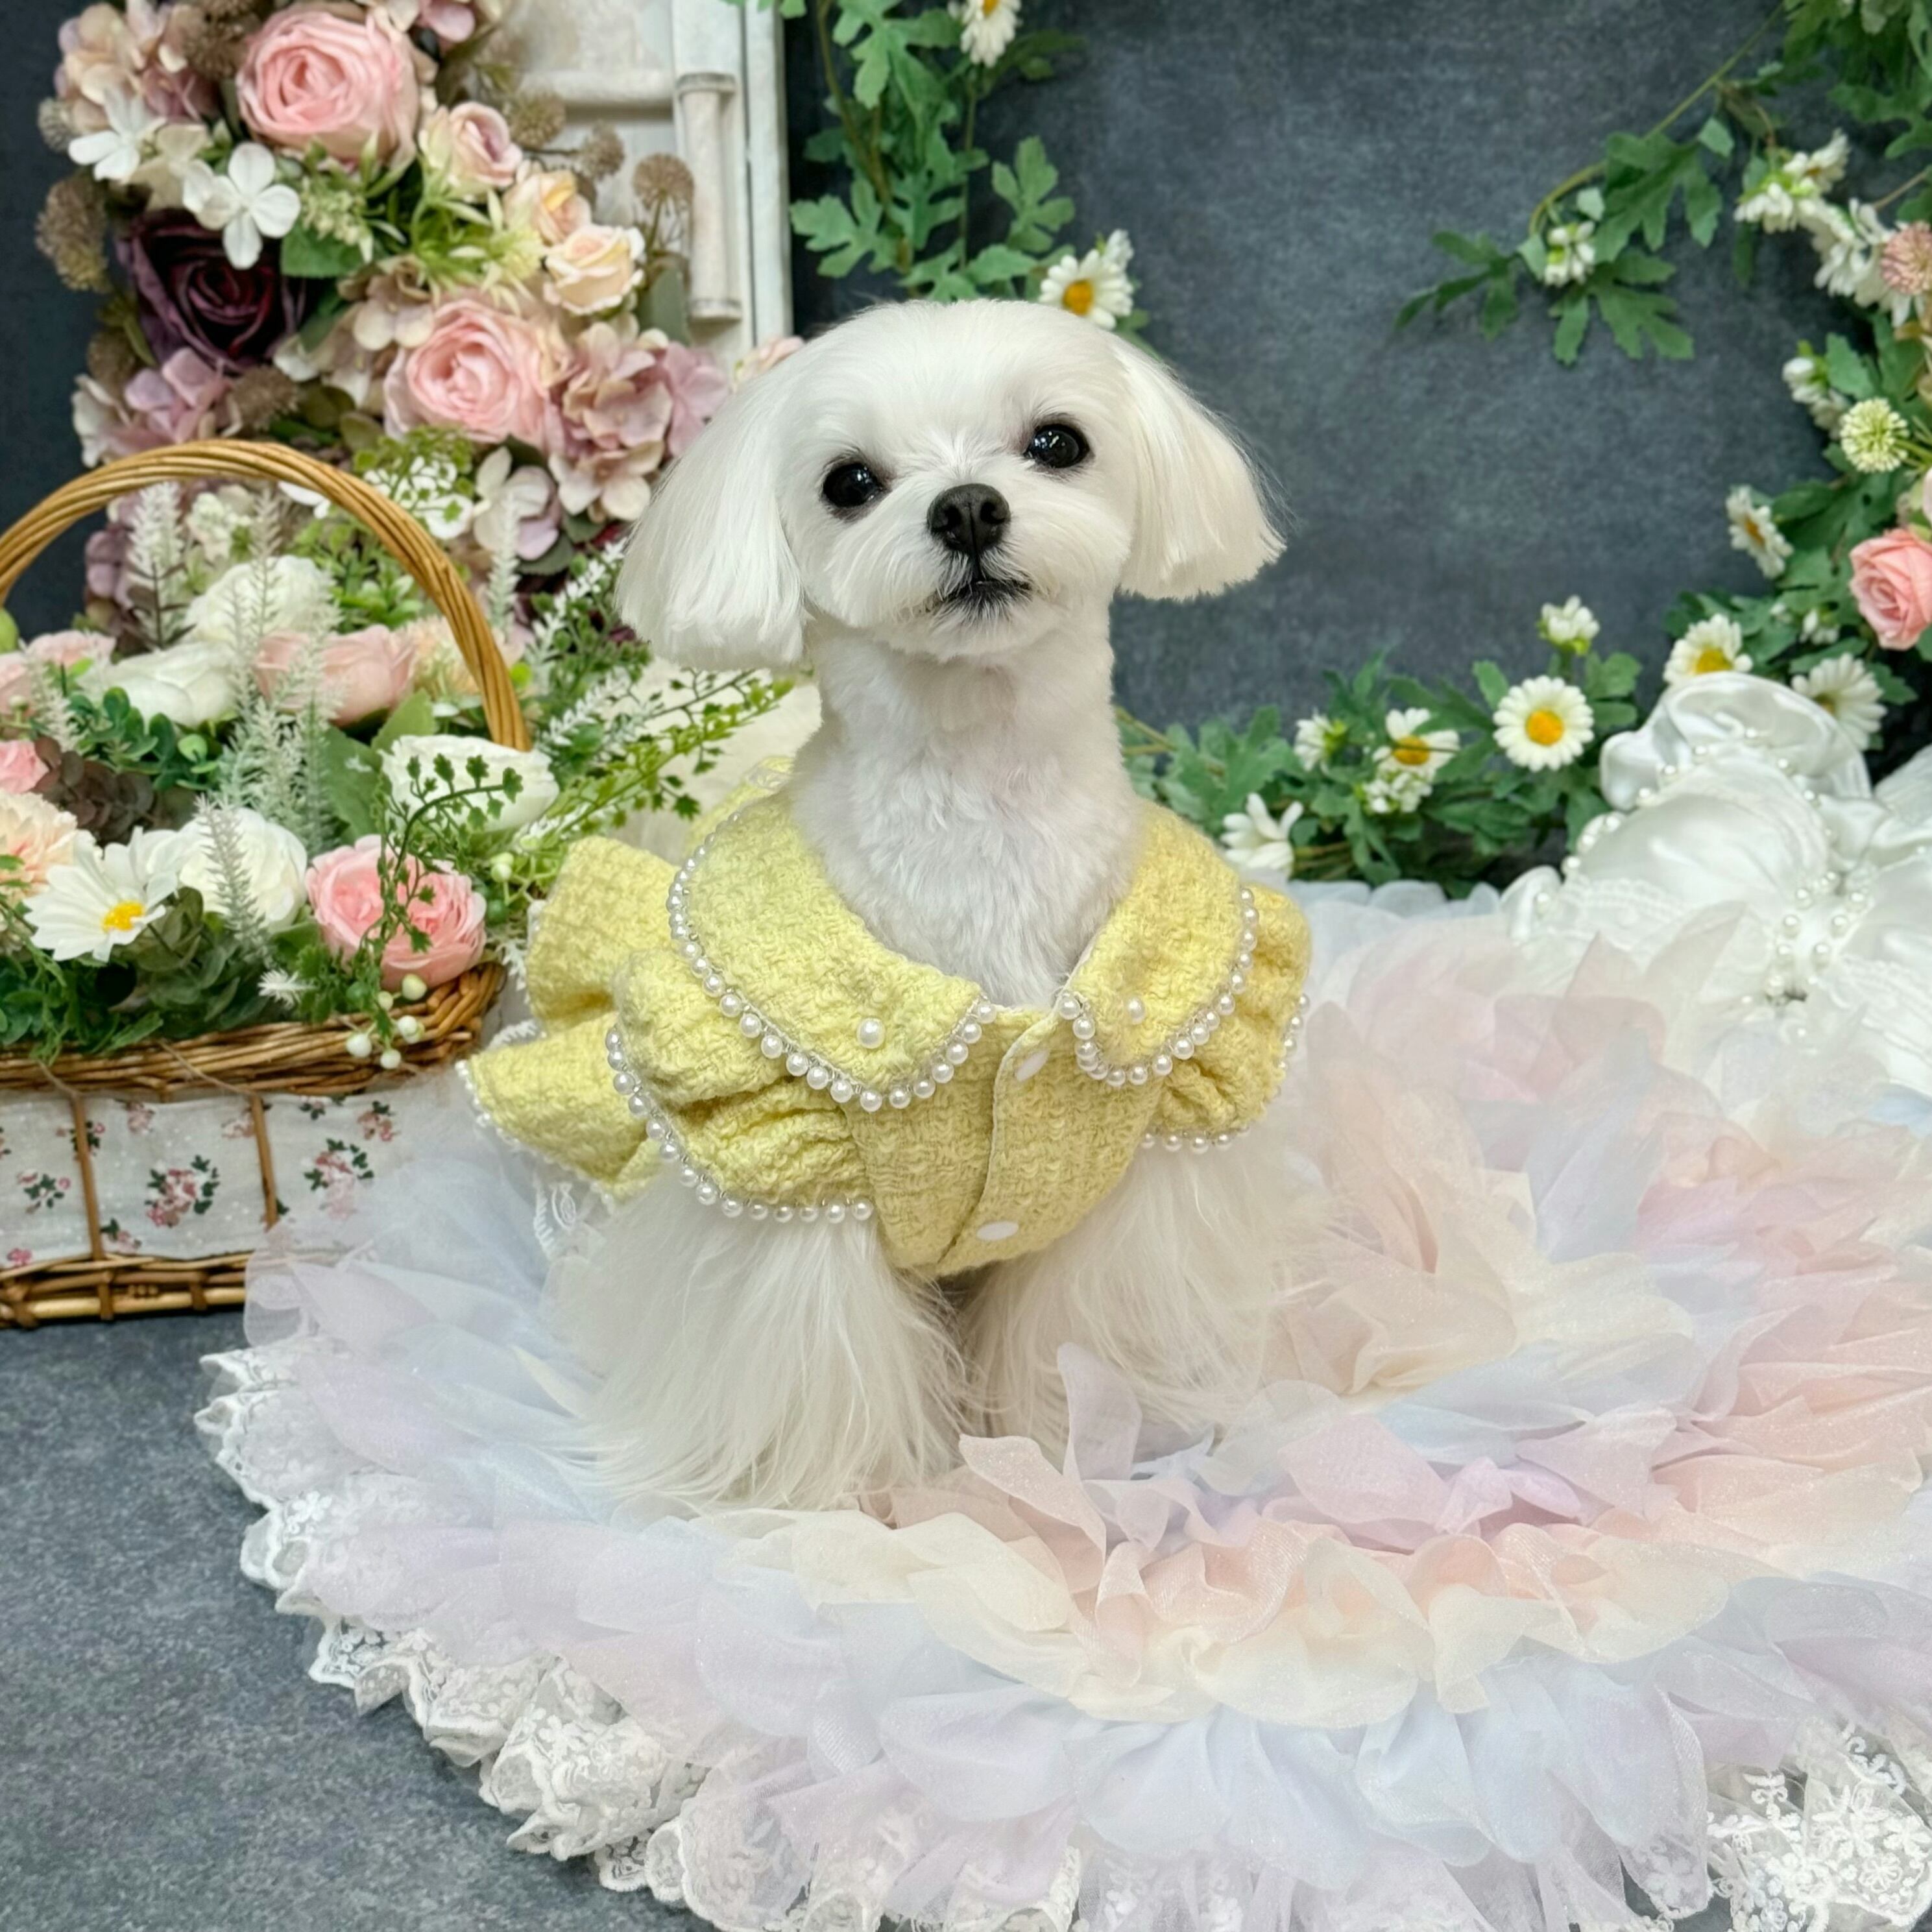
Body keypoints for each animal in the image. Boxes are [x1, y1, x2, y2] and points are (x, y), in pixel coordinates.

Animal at [558, 298, 1286, 1510]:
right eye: (848, 480)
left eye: (1055, 442)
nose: (968, 506)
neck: (981, 803)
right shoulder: (795, 1189)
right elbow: (818, 1380)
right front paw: (855, 1501)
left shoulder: (1108, 1173)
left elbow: (1069, 1348)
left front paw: (1063, 1457)